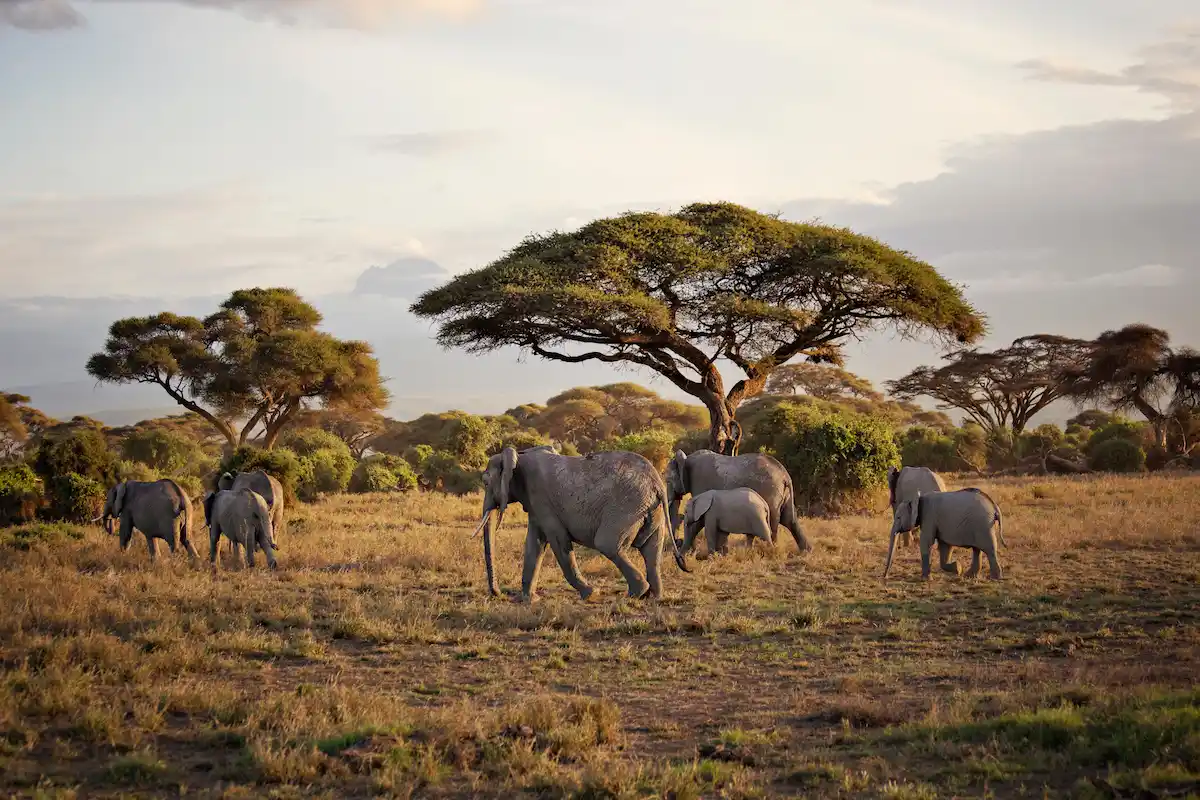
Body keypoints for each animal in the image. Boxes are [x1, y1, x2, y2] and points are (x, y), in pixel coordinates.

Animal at [468, 445, 690, 602]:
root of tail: (657, 484)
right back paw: (653, 597)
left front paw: (591, 593)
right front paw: (529, 600)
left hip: (628, 507)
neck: (519, 456)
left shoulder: (542, 498)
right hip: (651, 509)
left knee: (608, 545)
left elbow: (558, 542)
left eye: (486, 482)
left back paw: (637, 594)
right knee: (652, 551)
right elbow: (534, 544)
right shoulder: (536, 503)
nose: (499, 594)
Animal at [665, 449, 811, 554]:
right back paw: (806, 551)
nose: (677, 541)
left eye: (667, 480)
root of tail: (785, 475)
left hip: (770, 491)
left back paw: (770, 551)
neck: (686, 459)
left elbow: (698, 522)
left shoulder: (700, 481)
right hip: (784, 494)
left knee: (774, 521)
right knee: (789, 519)